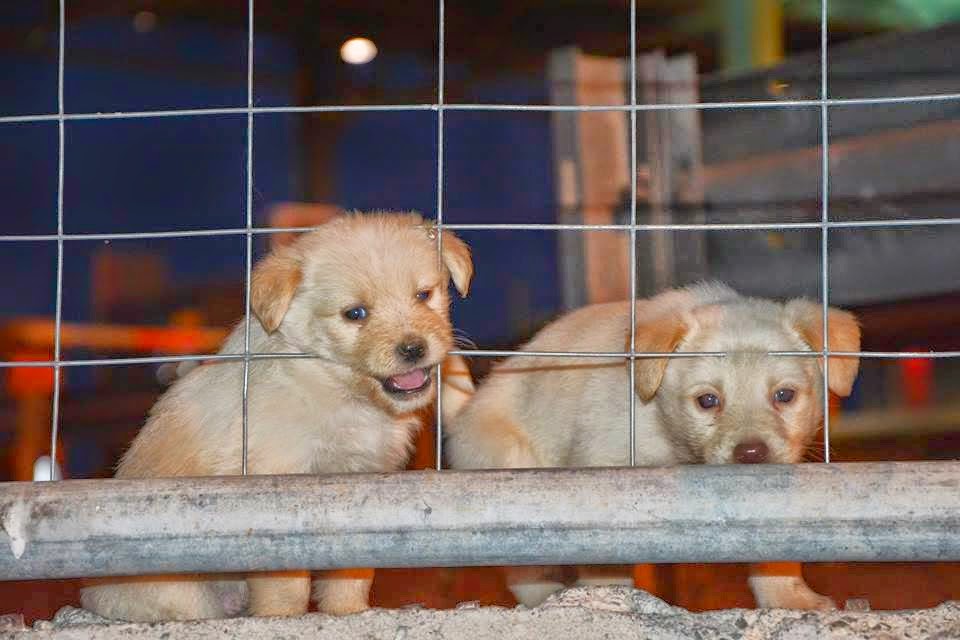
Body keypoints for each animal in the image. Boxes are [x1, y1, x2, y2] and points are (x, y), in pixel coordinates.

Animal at [81, 214, 472, 620]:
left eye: (423, 295)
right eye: (355, 314)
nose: (413, 349)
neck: (337, 389)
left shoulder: (364, 487)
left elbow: (351, 573)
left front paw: (348, 612)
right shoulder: (276, 491)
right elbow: (285, 584)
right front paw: (281, 617)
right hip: (183, 596)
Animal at [444, 284, 864, 608]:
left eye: (784, 395)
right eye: (707, 401)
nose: (751, 454)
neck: (664, 424)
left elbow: (775, 555)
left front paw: (791, 600)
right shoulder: (603, 471)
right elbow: (604, 562)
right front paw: (605, 602)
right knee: (524, 568)